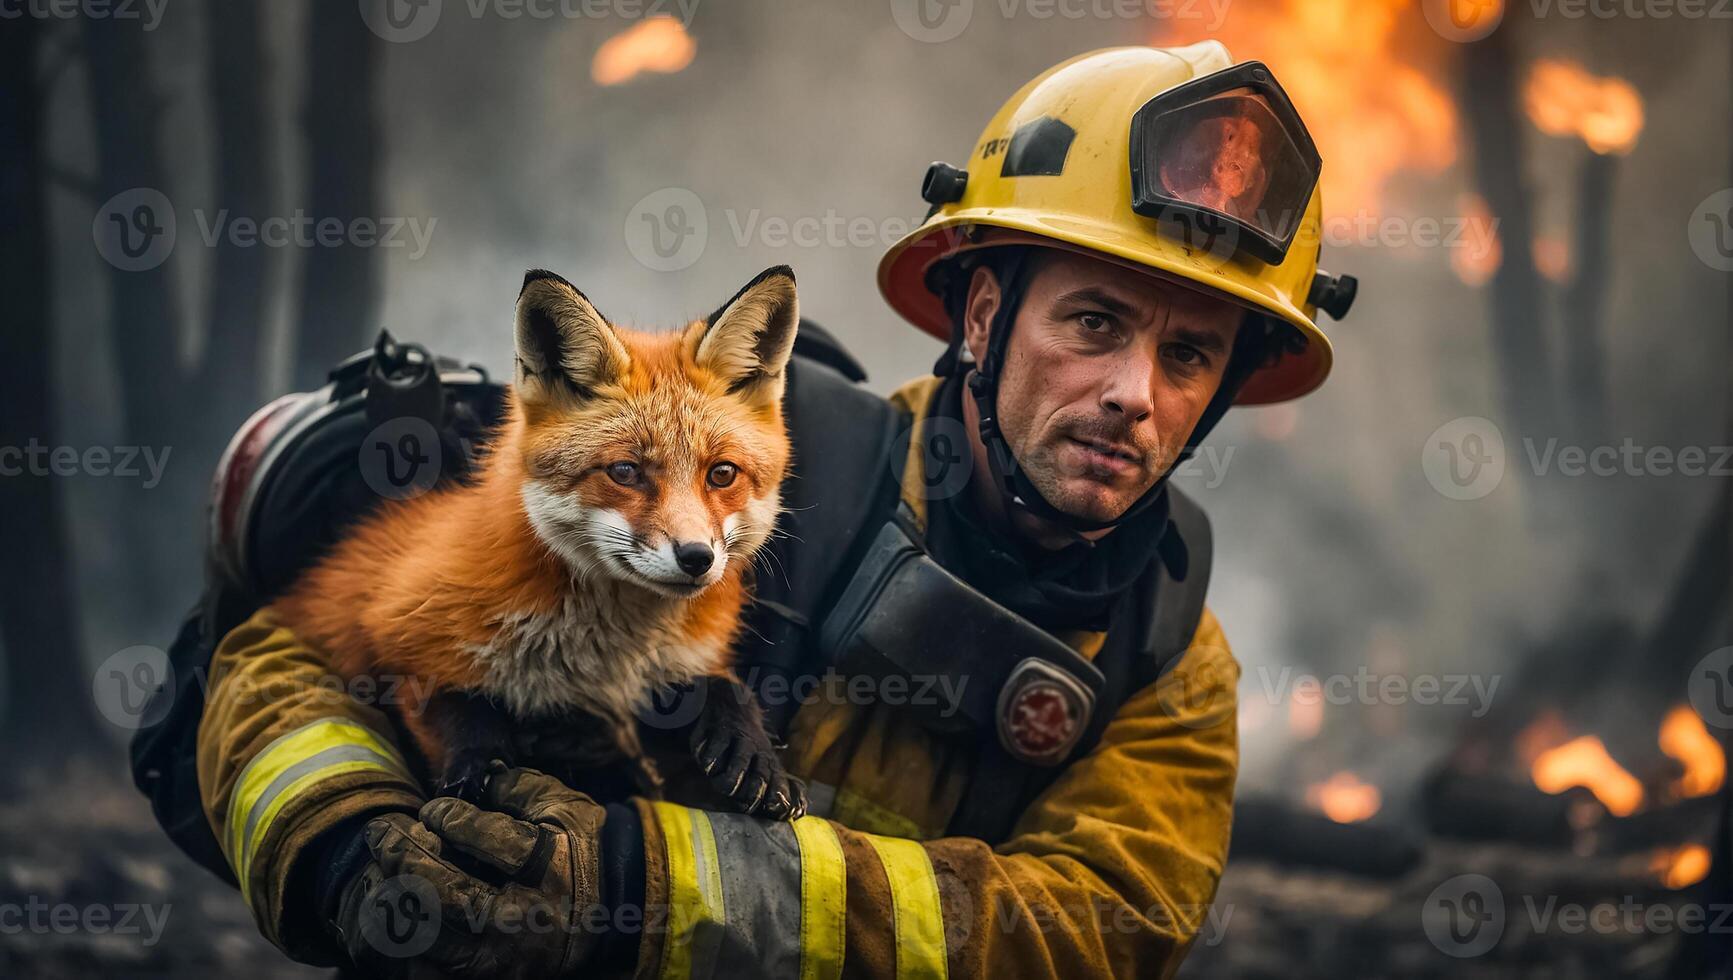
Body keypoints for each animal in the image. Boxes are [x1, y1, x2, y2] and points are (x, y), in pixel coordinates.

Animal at [272, 261, 811, 818]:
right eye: (625, 471)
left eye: (722, 474)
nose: (697, 558)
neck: (605, 658)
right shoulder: (388, 625)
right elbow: (453, 706)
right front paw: (477, 768)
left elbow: (723, 686)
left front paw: (753, 749)